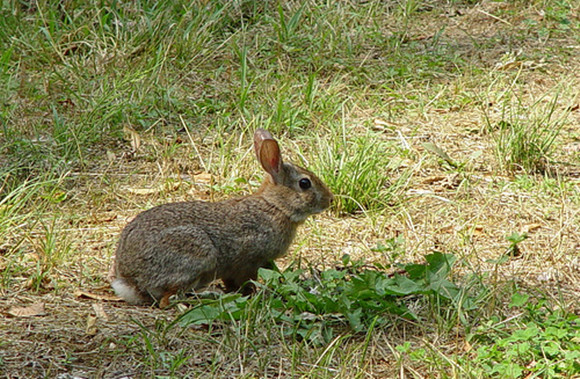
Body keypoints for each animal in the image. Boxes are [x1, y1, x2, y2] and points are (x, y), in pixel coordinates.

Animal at [110, 129, 334, 308]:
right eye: (304, 183)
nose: (329, 200)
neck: (275, 206)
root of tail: (130, 280)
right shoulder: (250, 259)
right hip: (196, 251)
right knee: (169, 299)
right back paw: (210, 295)